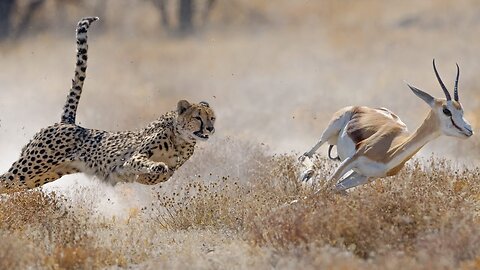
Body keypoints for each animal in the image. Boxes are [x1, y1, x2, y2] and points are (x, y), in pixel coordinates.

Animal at [0, 16, 215, 192]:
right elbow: (147, 164)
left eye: (212, 118)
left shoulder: (169, 167)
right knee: (4, 180)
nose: (211, 129)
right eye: (198, 117)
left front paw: (150, 175)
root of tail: (67, 122)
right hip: (30, 167)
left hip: (39, 176)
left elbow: (165, 175)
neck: (181, 139)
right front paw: (155, 168)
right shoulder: (133, 158)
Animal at [300, 60, 472, 191]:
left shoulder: (365, 177)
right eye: (446, 110)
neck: (389, 151)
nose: (469, 130)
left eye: (461, 110)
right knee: (306, 155)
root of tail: (364, 107)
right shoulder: (351, 160)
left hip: (354, 171)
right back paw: (307, 173)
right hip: (330, 132)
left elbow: (328, 190)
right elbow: (322, 190)